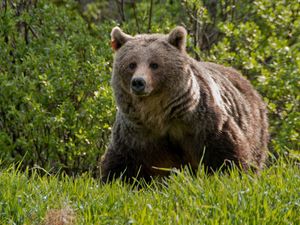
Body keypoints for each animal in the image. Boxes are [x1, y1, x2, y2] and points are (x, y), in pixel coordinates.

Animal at [99, 25, 268, 182]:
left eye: (154, 64)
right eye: (131, 64)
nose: (138, 82)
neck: (158, 114)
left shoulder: (202, 123)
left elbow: (226, 153)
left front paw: (232, 174)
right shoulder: (136, 133)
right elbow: (122, 162)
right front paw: (115, 180)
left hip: (255, 126)